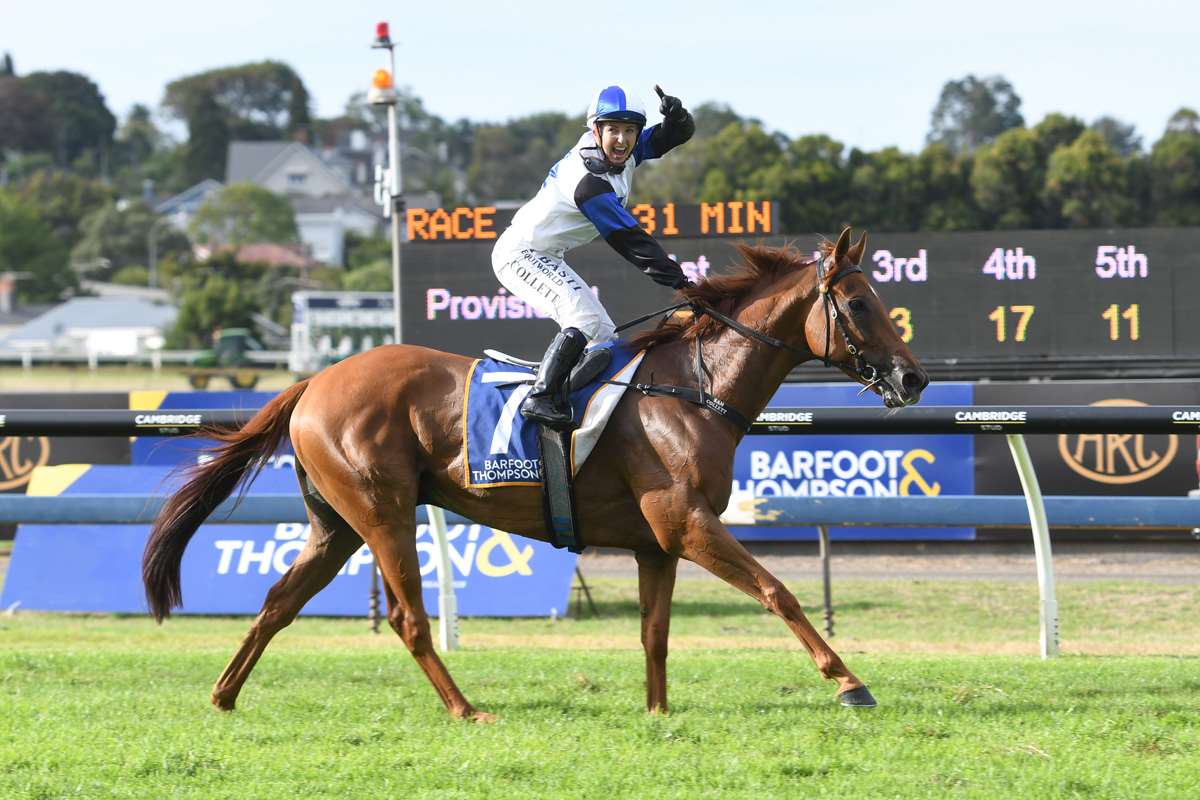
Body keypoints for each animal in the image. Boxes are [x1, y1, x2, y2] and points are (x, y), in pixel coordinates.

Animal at [140, 225, 926, 719]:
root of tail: (313, 383)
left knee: (278, 601)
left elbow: (655, 633)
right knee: (407, 616)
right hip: (383, 512)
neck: (691, 389)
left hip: (334, 525)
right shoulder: (688, 523)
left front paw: (658, 712)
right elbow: (776, 591)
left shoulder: (656, 543)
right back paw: (466, 709)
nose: (912, 378)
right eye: (859, 304)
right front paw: (849, 683)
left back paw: (223, 695)